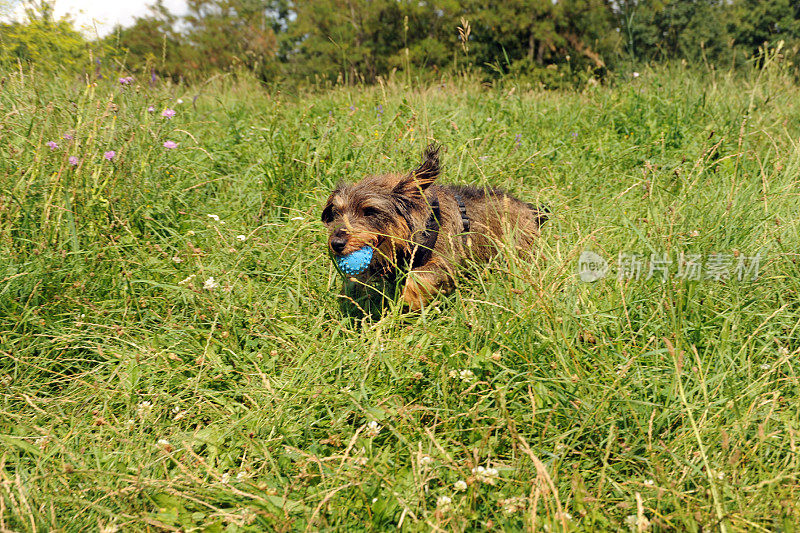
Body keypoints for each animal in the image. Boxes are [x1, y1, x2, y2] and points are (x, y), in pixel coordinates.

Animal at [322, 144, 548, 312]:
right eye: (337, 212)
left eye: (370, 211)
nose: (337, 243)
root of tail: (531, 210)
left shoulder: (445, 261)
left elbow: (417, 277)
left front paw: (409, 300)